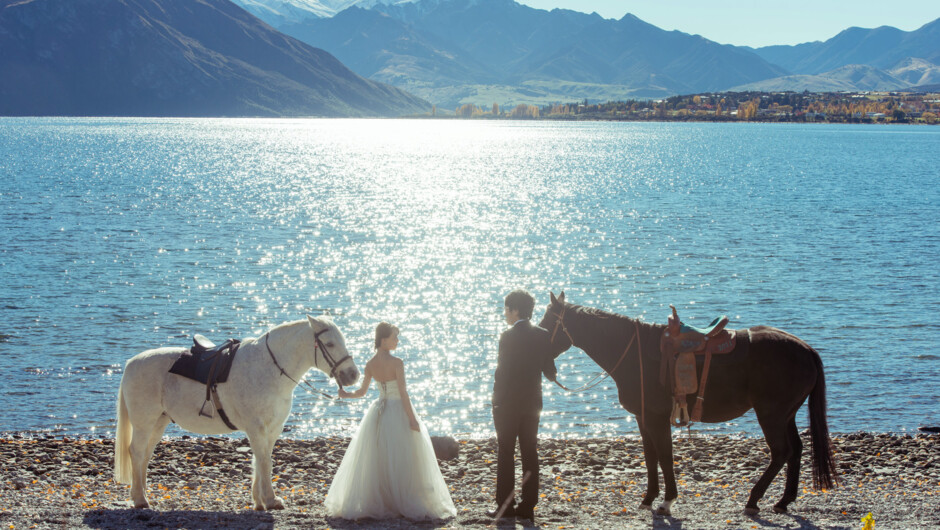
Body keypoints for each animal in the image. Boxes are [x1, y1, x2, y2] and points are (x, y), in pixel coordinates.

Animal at [114, 316, 356, 510]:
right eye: (330, 343)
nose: (353, 375)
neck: (268, 369)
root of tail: (131, 363)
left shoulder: (272, 429)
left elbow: (261, 460)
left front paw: (259, 501)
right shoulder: (256, 427)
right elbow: (264, 461)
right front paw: (270, 500)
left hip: (159, 422)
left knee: (145, 455)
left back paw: (142, 494)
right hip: (144, 423)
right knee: (136, 452)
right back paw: (140, 499)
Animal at [536, 290, 836, 512]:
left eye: (548, 323)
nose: (544, 363)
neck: (635, 354)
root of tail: (807, 349)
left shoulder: (656, 418)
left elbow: (665, 457)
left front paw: (667, 500)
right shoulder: (643, 418)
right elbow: (651, 457)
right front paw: (649, 498)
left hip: (771, 415)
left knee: (781, 452)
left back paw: (754, 499)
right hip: (786, 415)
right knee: (796, 450)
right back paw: (783, 501)